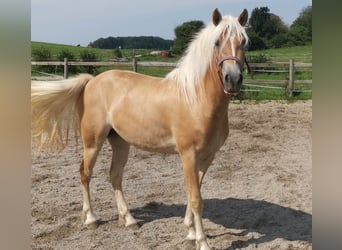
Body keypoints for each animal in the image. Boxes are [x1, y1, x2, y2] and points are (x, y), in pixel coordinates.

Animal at [31, 8, 248, 250]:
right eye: (217, 42)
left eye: (244, 42)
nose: (233, 80)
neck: (195, 98)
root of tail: (91, 81)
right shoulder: (188, 155)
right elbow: (196, 199)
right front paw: (201, 241)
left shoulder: (207, 157)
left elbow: (194, 194)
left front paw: (190, 231)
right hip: (93, 142)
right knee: (85, 174)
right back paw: (91, 219)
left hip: (120, 142)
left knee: (115, 175)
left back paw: (128, 220)